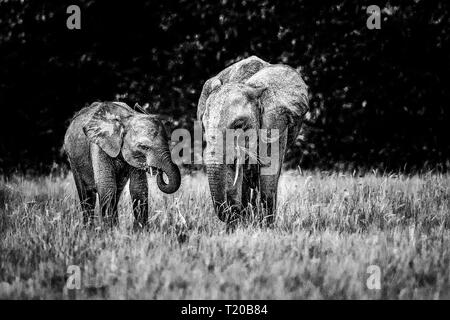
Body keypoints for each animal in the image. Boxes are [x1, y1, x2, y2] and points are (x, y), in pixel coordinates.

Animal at [64, 101, 180, 229]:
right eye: (144, 147)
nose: (158, 170)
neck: (128, 118)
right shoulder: (98, 145)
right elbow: (107, 186)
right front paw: (108, 230)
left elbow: (138, 188)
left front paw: (141, 230)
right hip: (72, 159)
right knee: (86, 196)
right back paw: (88, 229)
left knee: (116, 193)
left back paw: (115, 227)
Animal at [198, 56, 310, 229]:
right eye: (204, 126)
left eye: (239, 125)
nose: (231, 213)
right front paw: (239, 225)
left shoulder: (277, 121)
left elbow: (269, 172)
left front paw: (266, 228)